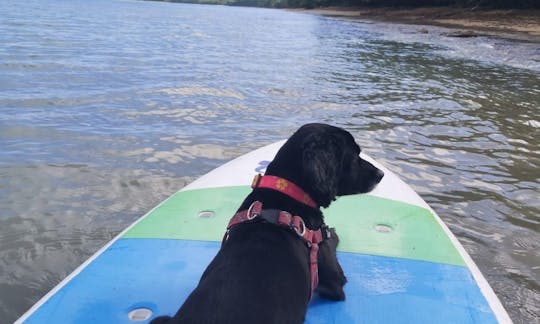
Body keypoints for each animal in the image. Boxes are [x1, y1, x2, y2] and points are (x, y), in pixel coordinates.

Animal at [150, 123, 382, 324]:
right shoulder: (333, 282)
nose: (381, 174)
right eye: (355, 154)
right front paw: (332, 233)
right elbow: (331, 244)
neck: (287, 192)